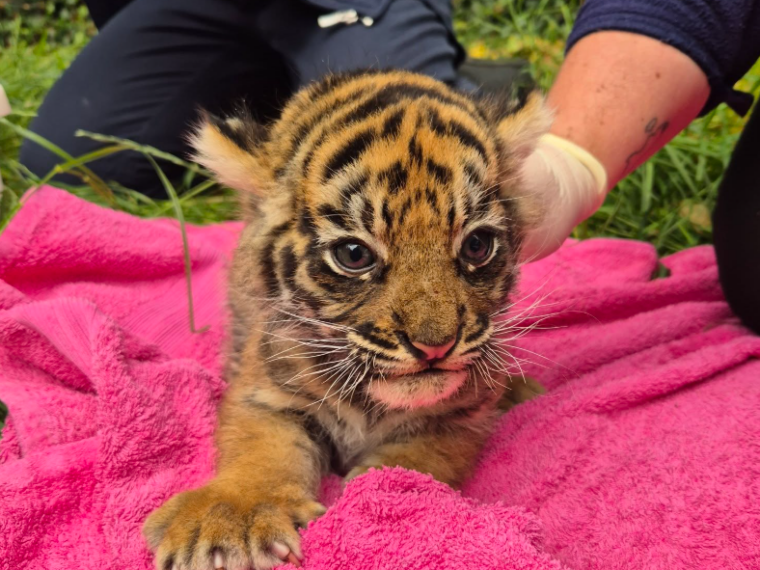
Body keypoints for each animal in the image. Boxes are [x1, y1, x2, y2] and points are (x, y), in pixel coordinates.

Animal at [143, 69, 550, 570]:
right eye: (354, 254)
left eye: (476, 246)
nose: (435, 345)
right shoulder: (267, 393)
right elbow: (259, 451)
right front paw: (227, 519)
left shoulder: (457, 419)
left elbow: (418, 461)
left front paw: (378, 491)